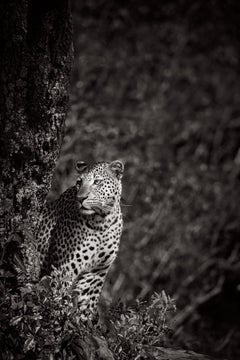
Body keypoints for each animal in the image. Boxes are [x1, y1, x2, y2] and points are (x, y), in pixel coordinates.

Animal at [38, 160, 124, 318]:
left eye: (97, 182)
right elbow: (60, 299)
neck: (102, 222)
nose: (80, 198)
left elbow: (87, 304)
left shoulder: (97, 272)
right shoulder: (64, 269)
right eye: (79, 182)